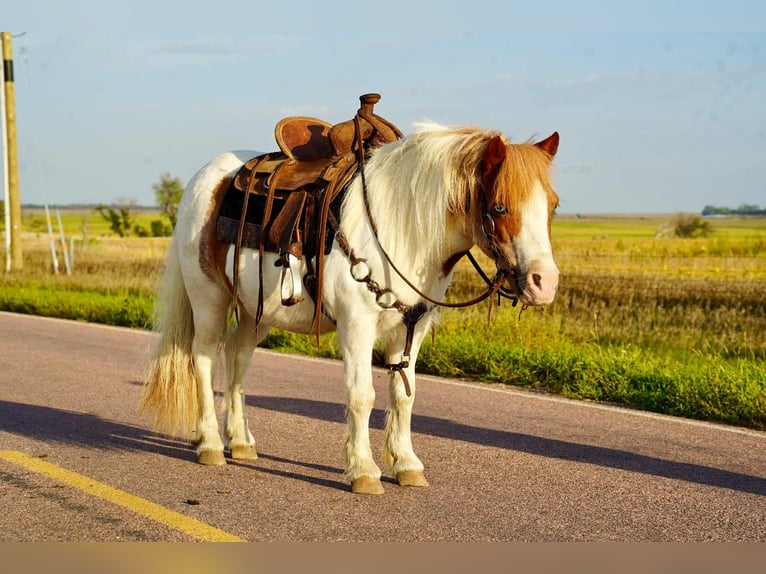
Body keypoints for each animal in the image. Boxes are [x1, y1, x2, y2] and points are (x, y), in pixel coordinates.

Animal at [141, 120, 560, 495]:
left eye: (553, 207)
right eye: (500, 207)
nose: (545, 283)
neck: (401, 227)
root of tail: (203, 179)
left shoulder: (412, 327)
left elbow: (404, 395)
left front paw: (406, 464)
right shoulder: (357, 324)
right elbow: (362, 395)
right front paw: (363, 470)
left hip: (255, 310)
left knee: (238, 356)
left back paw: (241, 440)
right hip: (208, 296)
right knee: (204, 357)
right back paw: (211, 443)